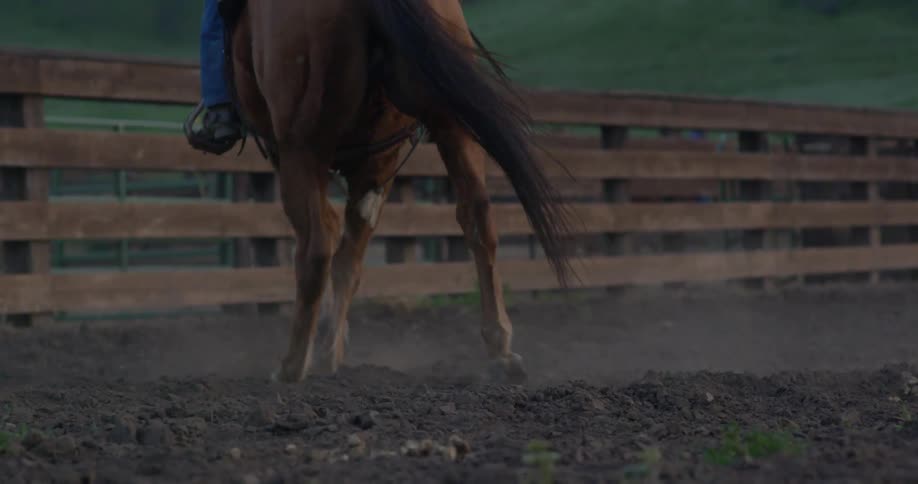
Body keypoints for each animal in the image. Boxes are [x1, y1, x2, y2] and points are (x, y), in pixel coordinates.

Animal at [222, 0, 574, 383]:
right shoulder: (378, 162)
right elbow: (352, 255)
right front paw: (334, 346)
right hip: (447, 125)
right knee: (476, 215)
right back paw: (501, 350)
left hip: (302, 147)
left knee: (317, 243)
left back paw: (292, 365)